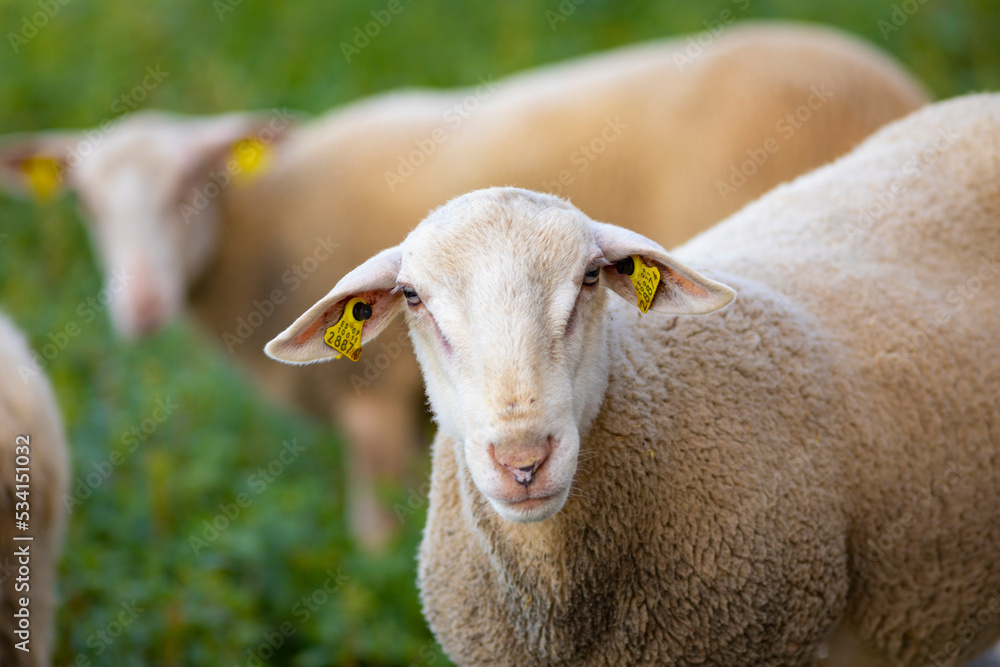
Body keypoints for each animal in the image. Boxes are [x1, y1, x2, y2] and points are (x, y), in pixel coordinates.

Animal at [0, 23, 928, 552]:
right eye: (86, 204)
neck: (259, 229)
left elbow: (372, 539)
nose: (139, 306)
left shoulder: (372, 401)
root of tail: (901, 86)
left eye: (191, 188)